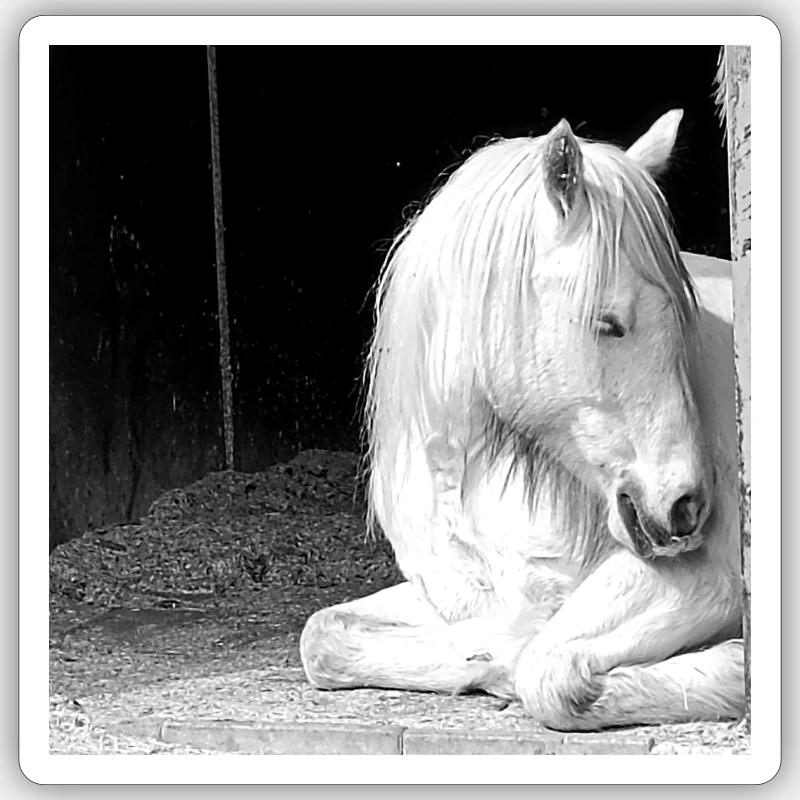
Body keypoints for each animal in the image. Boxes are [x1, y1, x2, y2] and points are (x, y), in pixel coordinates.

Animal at [300, 110, 744, 731]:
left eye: (685, 319)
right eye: (608, 323)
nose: (686, 506)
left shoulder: (708, 581)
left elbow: (548, 672)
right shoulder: (463, 599)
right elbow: (323, 635)